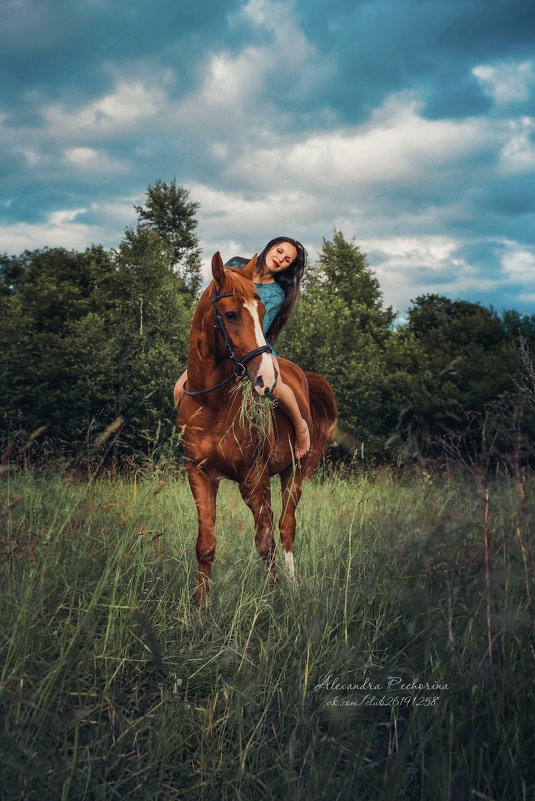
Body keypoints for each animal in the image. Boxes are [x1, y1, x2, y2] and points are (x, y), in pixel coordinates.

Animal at [177, 253, 336, 604]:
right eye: (231, 314)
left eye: (262, 313)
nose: (266, 378)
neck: (213, 404)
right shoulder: (199, 474)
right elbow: (205, 546)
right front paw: (199, 609)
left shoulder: (254, 476)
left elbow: (266, 543)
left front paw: (275, 601)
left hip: (295, 473)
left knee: (286, 528)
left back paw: (292, 585)